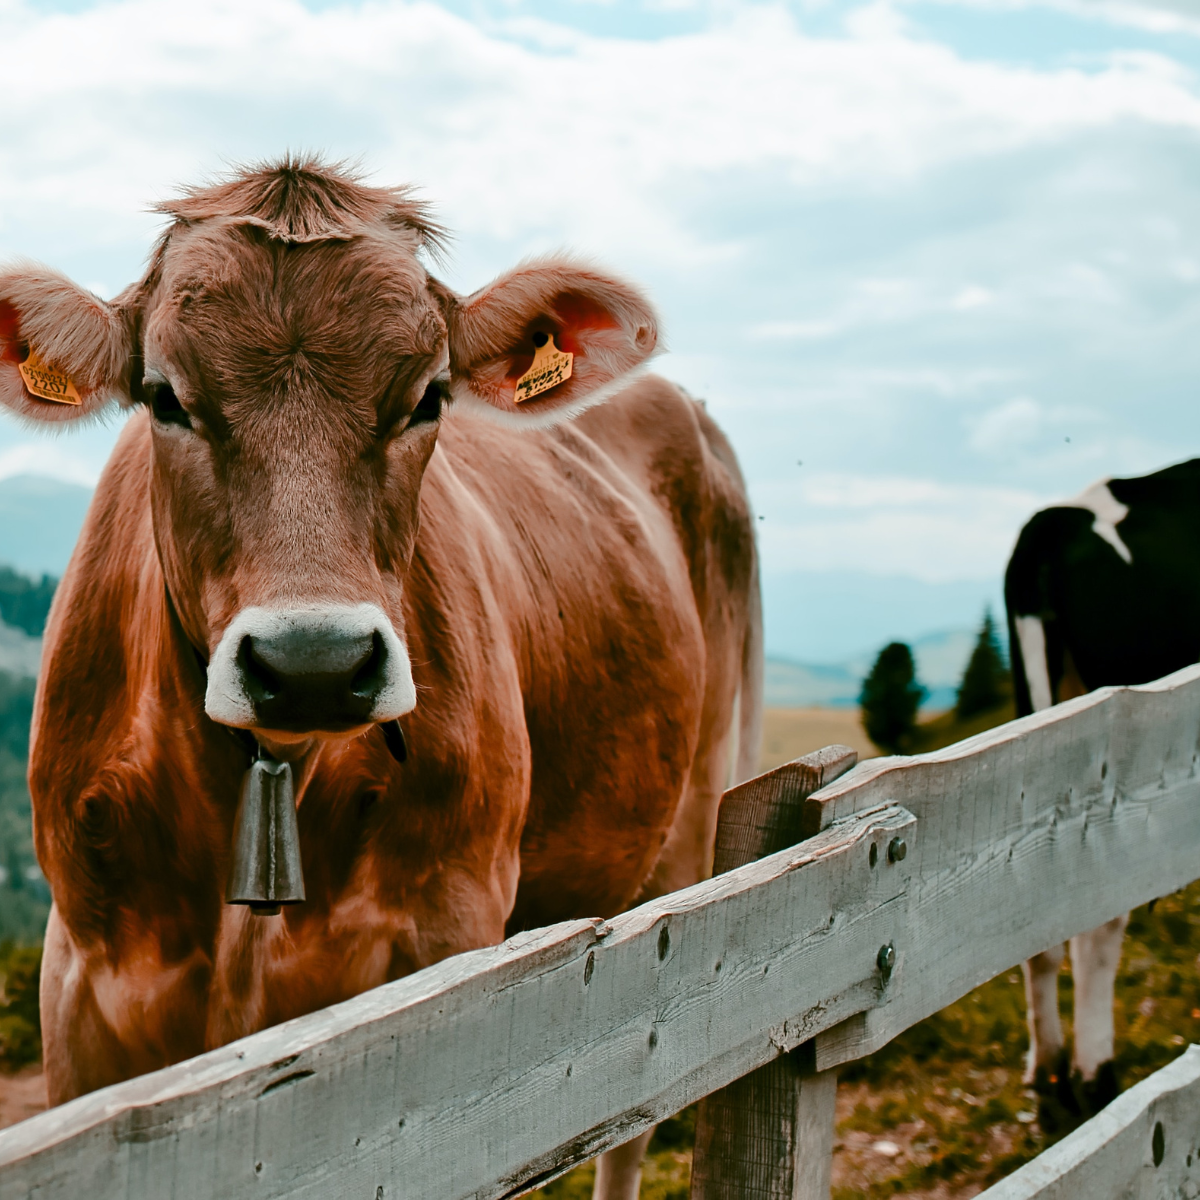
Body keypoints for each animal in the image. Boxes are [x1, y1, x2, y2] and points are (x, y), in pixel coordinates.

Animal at [0, 159, 763, 1200]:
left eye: (429, 397)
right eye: (164, 396)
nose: (313, 664)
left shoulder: (453, 950)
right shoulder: (83, 995)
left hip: (687, 830)